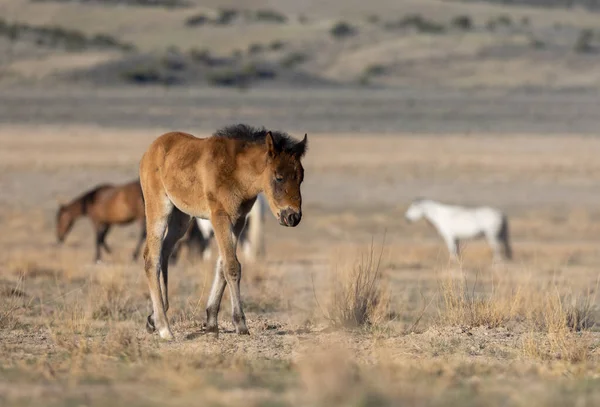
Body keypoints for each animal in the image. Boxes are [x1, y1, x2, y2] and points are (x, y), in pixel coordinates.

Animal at [140, 124, 308, 342]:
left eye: (301, 177)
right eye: (278, 177)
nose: (293, 217)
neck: (236, 172)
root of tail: (151, 150)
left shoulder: (238, 220)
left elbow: (222, 264)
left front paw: (211, 322)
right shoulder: (219, 216)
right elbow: (232, 266)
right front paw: (240, 324)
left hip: (181, 218)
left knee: (164, 253)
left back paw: (153, 318)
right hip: (158, 208)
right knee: (152, 258)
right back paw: (164, 328)